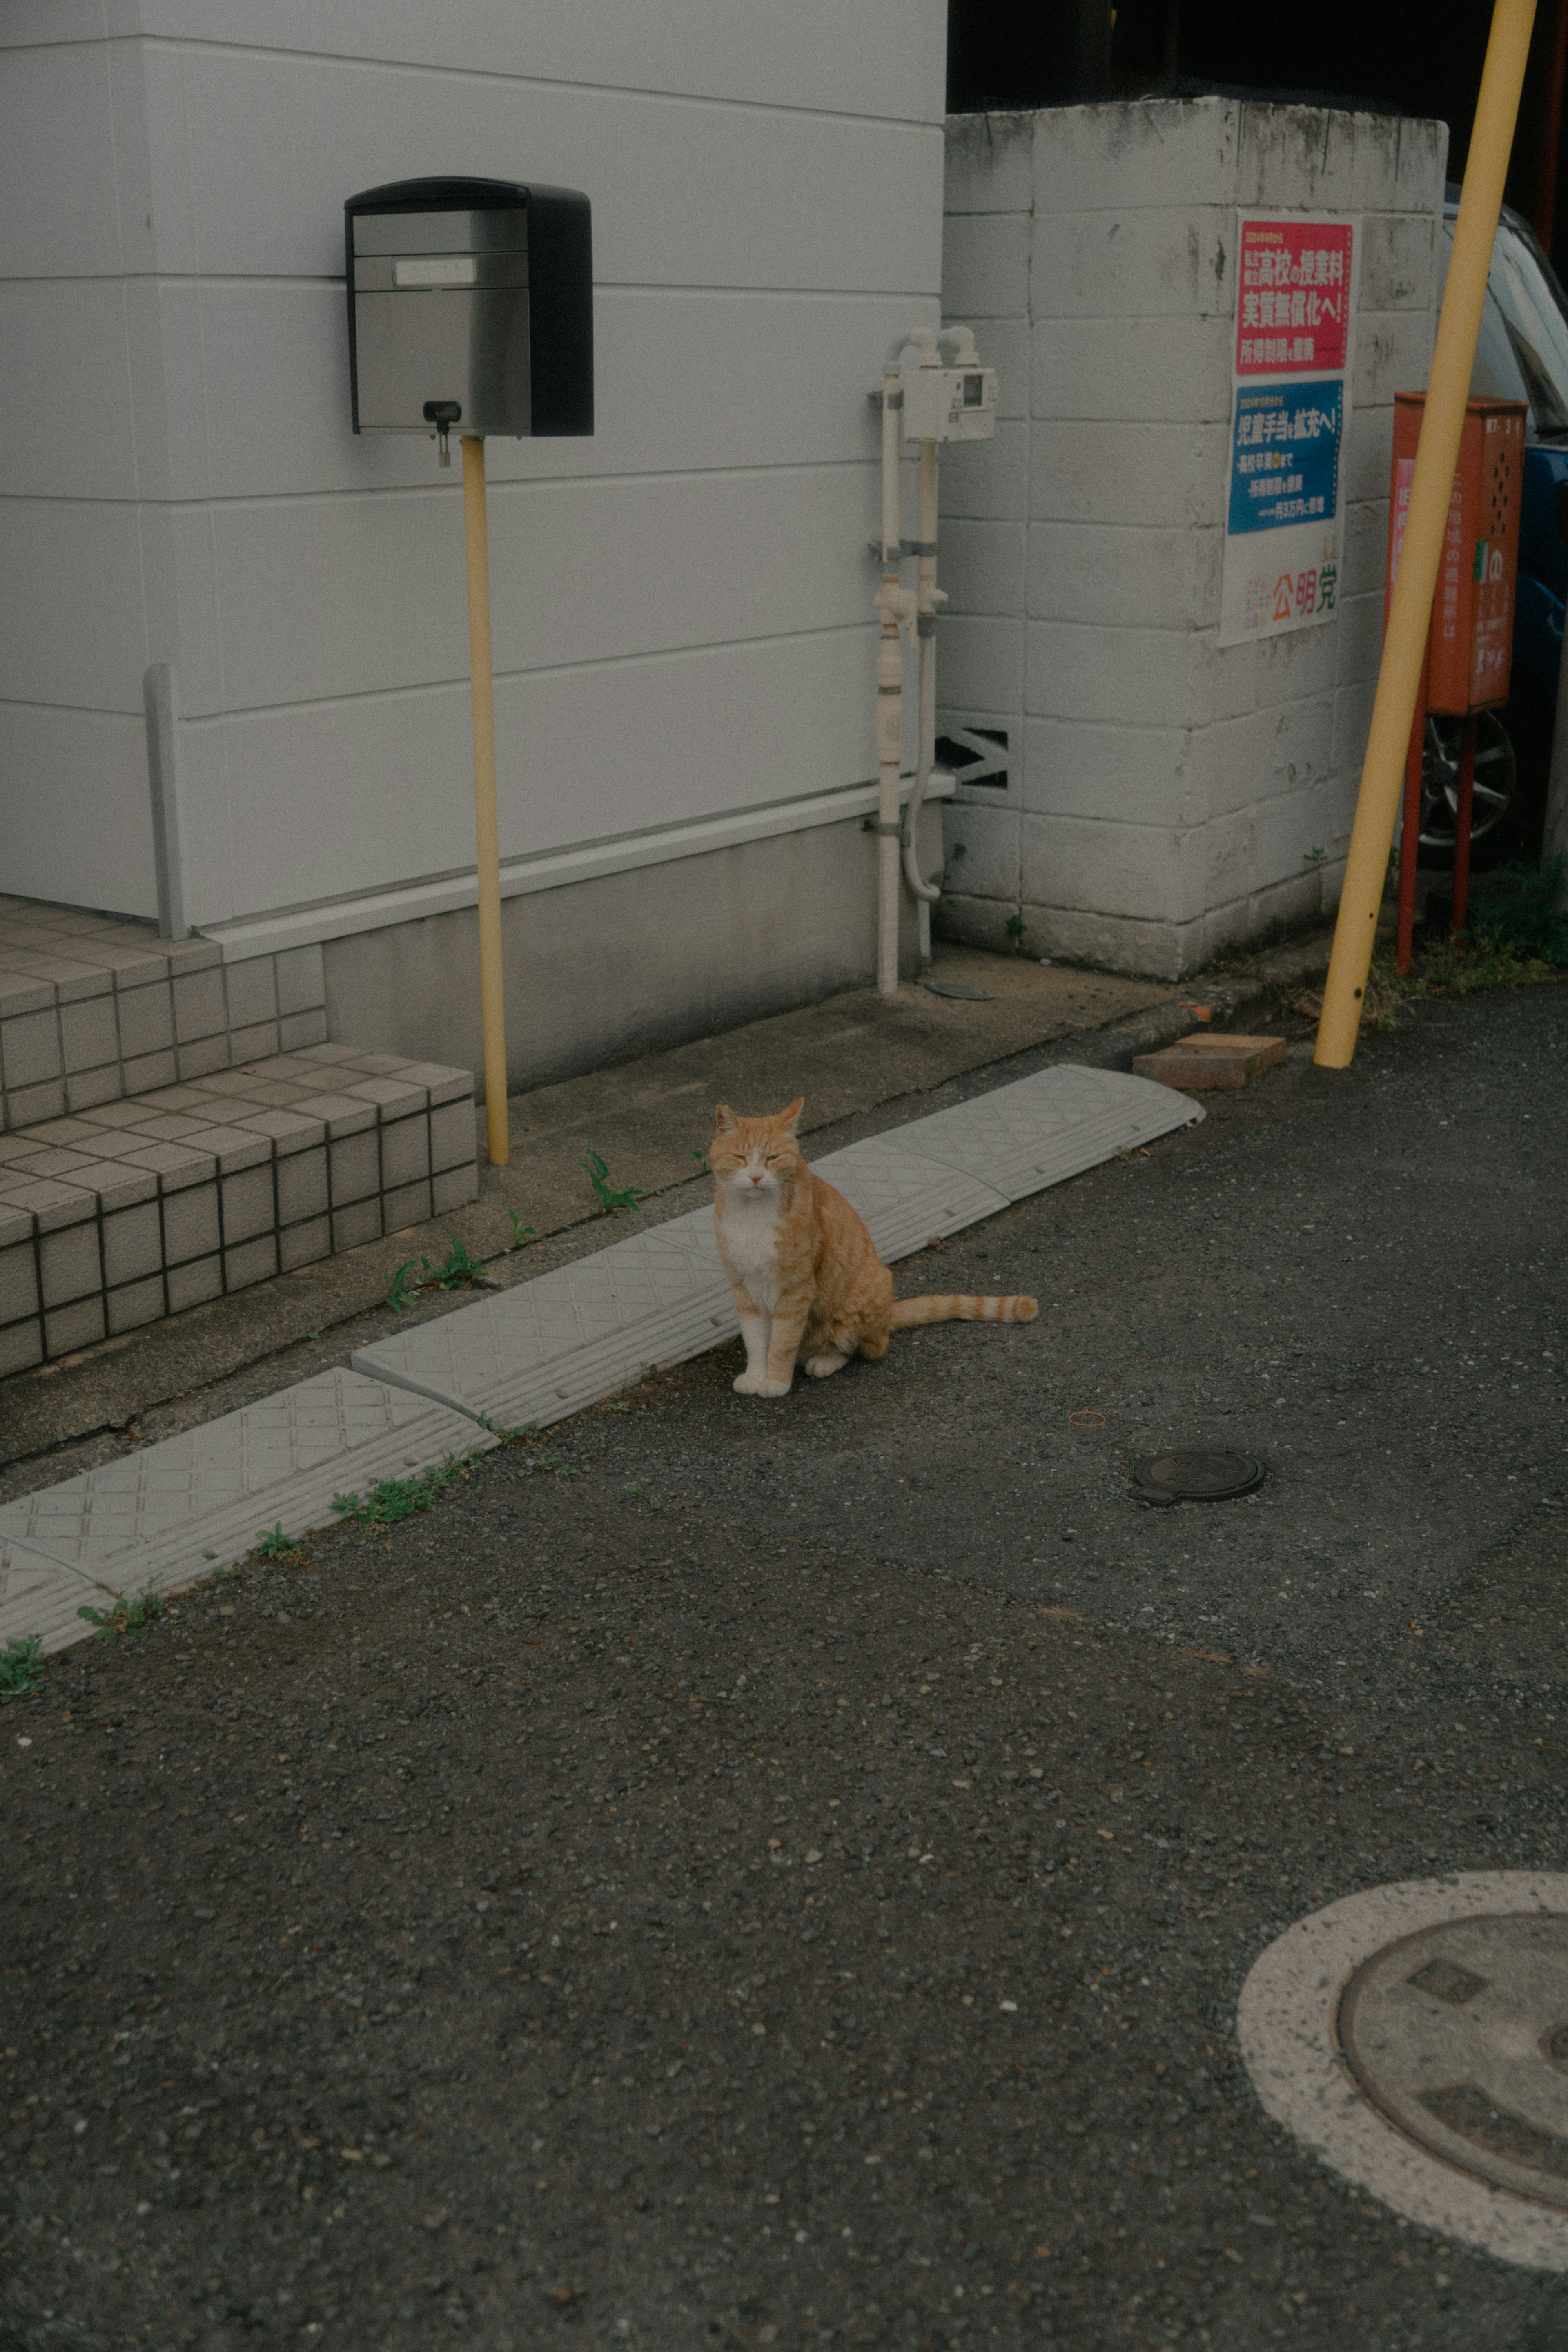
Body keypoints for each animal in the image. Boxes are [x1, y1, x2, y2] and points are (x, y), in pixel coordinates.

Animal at [715, 1101, 1044, 1392]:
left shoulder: (795, 1291)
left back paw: (824, 1360)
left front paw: (776, 1381)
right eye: (740, 1157)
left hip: (859, 1299)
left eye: (772, 1158)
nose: (756, 1177)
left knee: (865, 1348)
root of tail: (887, 1315)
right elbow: (757, 1342)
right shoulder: (745, 1288)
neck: (753, 1215)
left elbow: (782, 1343)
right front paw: (756, 1376)